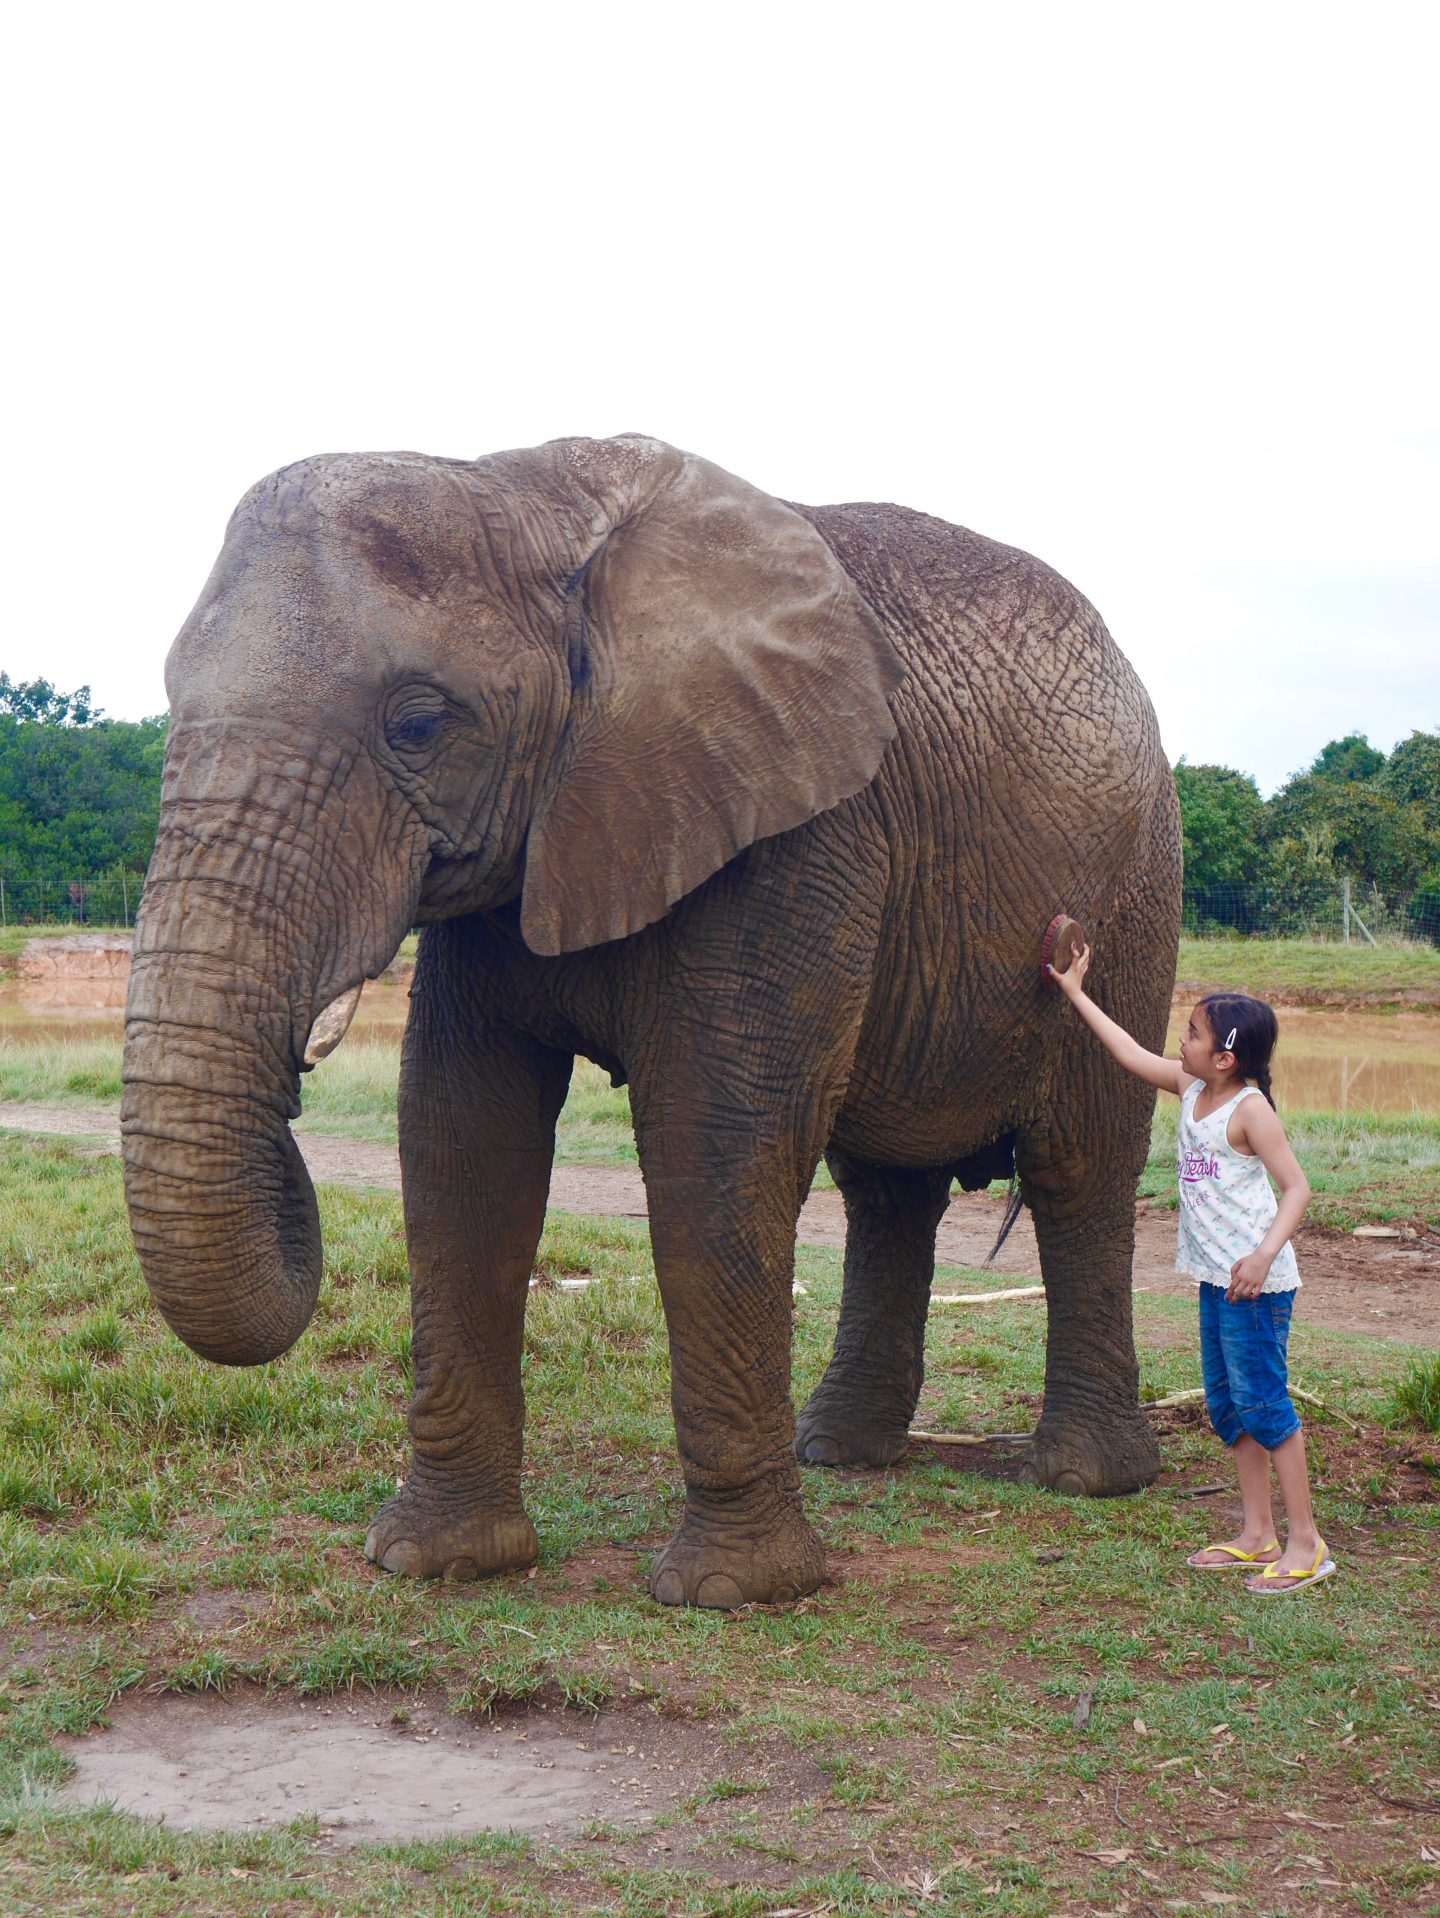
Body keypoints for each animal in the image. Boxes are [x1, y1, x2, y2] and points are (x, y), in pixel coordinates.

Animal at [122, 433, 1182, 1610]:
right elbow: (460, 1138)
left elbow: (712, 1143)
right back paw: (841, 1452)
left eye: (418, 723)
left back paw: (1085, 1478)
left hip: (1137, 895)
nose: (291, 1106)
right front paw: (434, 1562)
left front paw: (734, 1594)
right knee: (885, 1189)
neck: (518, 488)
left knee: (1080, 1167)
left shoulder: (795, 830)